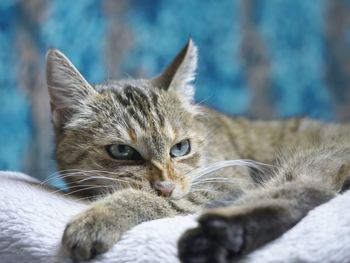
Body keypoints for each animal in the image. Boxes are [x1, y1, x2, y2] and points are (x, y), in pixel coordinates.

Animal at [45, 39, 350, 263]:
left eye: (180, 148)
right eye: (122, 150)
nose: (166, 185)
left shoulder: (227, 179)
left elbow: (156, 199)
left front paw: (100, 216)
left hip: (315, 159)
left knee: (305, 192)